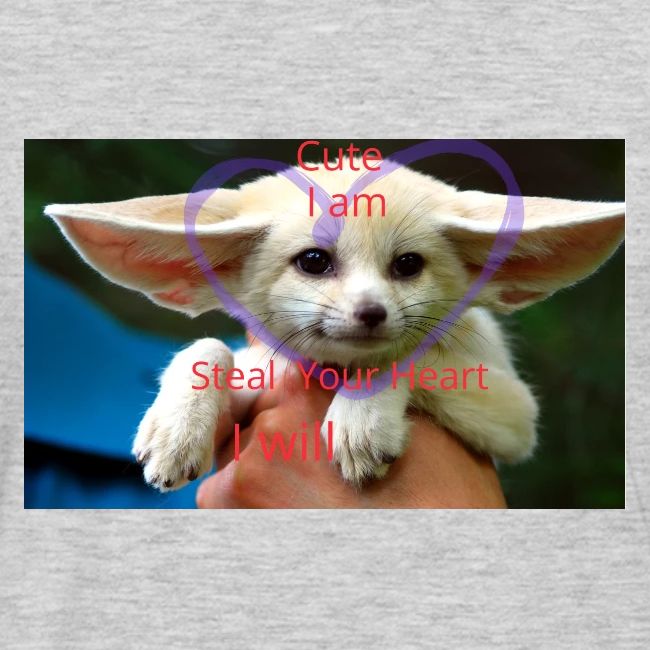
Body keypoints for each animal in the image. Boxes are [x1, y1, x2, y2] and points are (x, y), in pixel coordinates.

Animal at [45, 160, 625, 490]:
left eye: (408, 265)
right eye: (314, 261)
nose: (371, 313)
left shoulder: (517, 417)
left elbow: (406, 356)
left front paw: (362, 421)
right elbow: (207, 345)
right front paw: (175, 432)